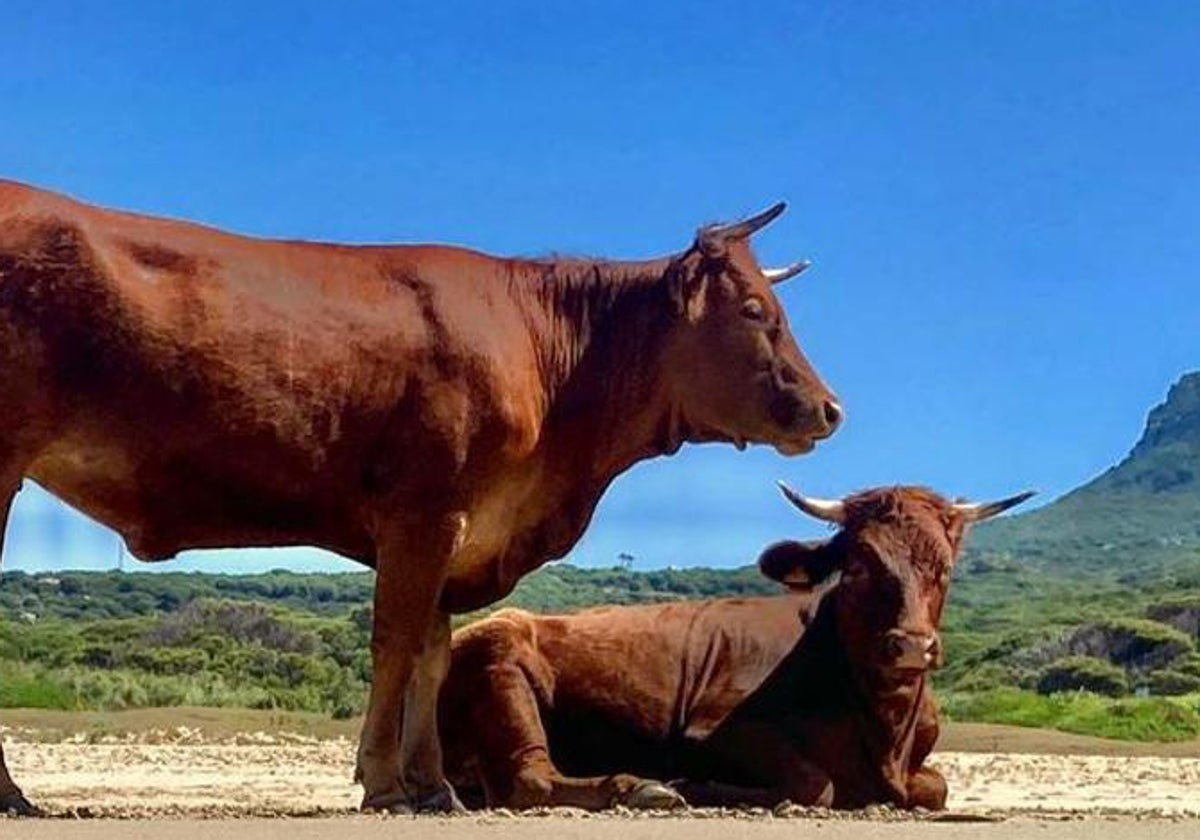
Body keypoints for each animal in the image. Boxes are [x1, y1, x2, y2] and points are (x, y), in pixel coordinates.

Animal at [0, 182, 840, 816]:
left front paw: (434, 786)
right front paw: (383, 783)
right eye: (756, 313)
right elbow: (395, 645)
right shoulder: (424, 513)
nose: (831, 409)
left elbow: (432, 655)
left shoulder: (458, 531)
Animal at [439, 484, 1032, 806]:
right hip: (502, 658)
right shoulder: (714, 730)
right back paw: (639, 788)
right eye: (860, 564)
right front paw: (694, 784)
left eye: (945, 567)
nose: (911, 646)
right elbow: (814, 783)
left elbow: (935, 788)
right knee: (530, 779)